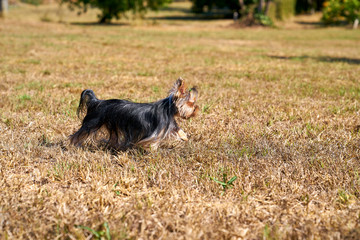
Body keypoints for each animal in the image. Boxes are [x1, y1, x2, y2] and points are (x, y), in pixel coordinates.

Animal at [70, 78, 200, 150]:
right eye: (191, 103)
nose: (197, 109)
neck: (168, 109)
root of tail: (97, 102)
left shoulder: (170, 124)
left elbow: (178, 130)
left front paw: (185, 137)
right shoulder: (157, 130)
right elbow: (153, 141)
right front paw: (152, 150)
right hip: (92, 123)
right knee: (78, 134)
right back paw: (72, 145)